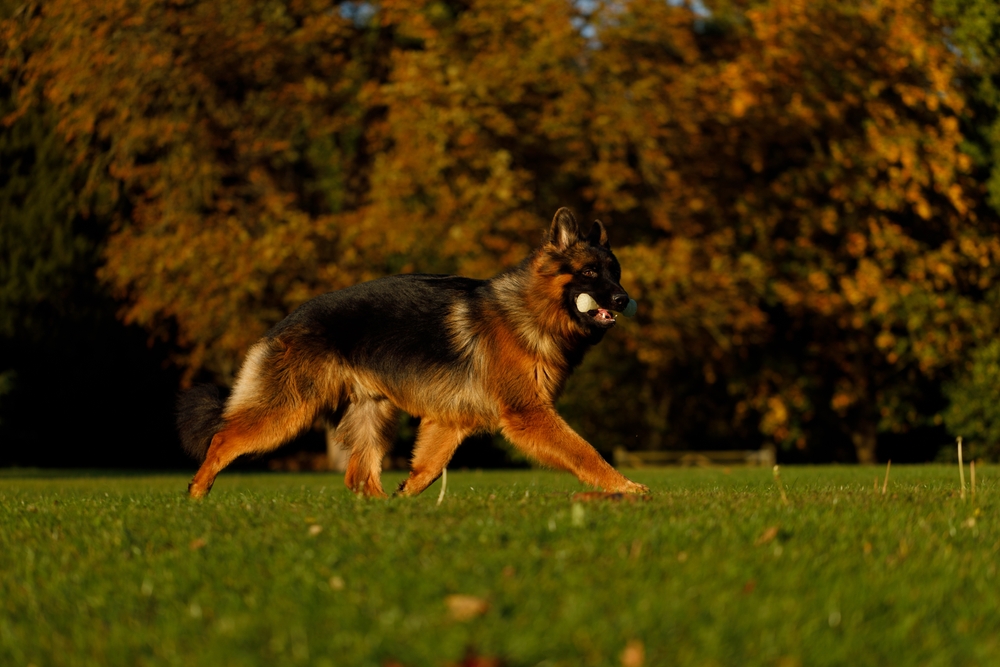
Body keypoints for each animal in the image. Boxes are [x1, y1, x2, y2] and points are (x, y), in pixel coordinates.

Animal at [180, 207, 648, 496]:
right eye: (590, 272)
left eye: (616, 272)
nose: (624, 299)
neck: (533, 308)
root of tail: (282, 324)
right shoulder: (528, 414)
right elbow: (584, 451)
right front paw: (624, 487)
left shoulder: (449, 419)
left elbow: (428, 466)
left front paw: (407, 498)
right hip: (288, 409)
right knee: (223, 437)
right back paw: (197, 492)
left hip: (374, 416)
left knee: (359, 475)